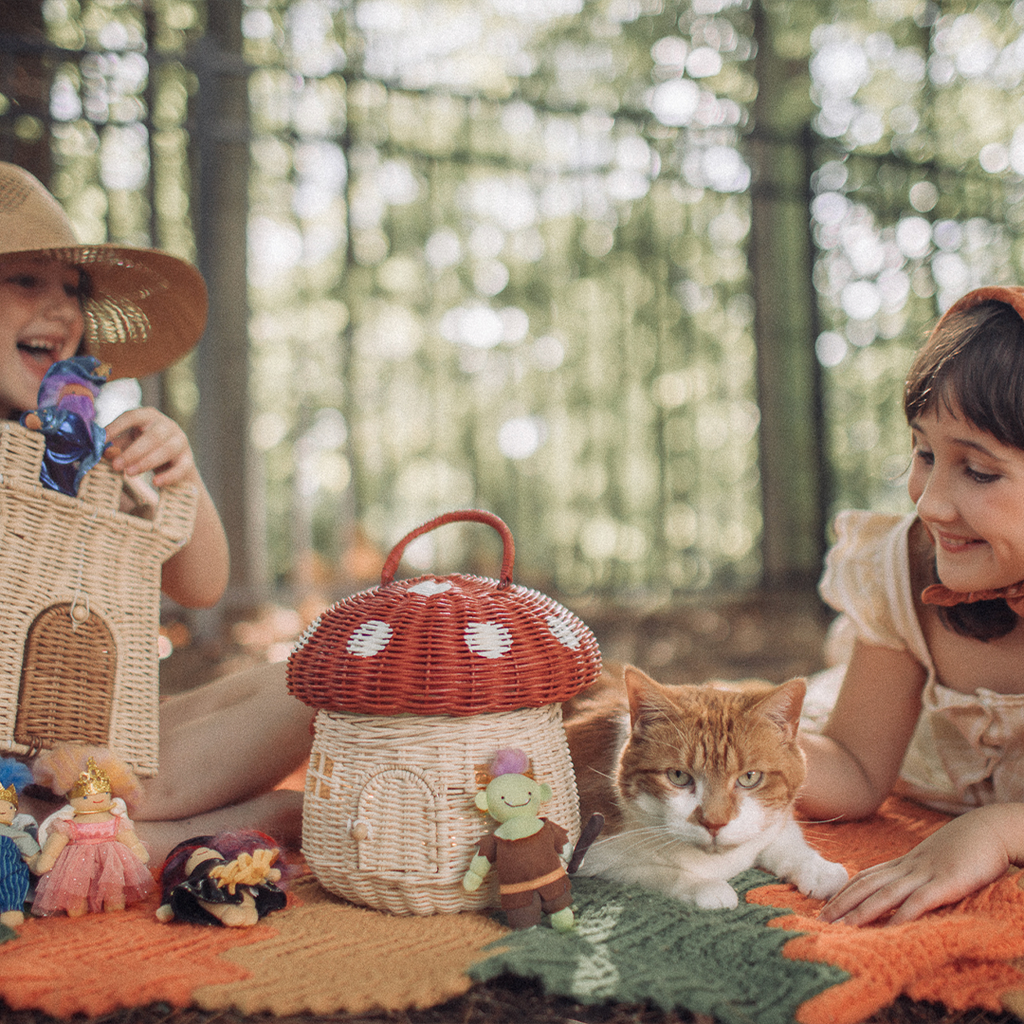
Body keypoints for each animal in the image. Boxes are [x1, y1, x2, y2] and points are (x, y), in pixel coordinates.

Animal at [565, 667, 843, 909]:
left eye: (749, 777)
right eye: (678, 776)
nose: (714, 823)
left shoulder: (774, 821)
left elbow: (784, 838)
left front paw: (818, 869)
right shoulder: (591, 854)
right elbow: (649, 870)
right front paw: (706, 887)